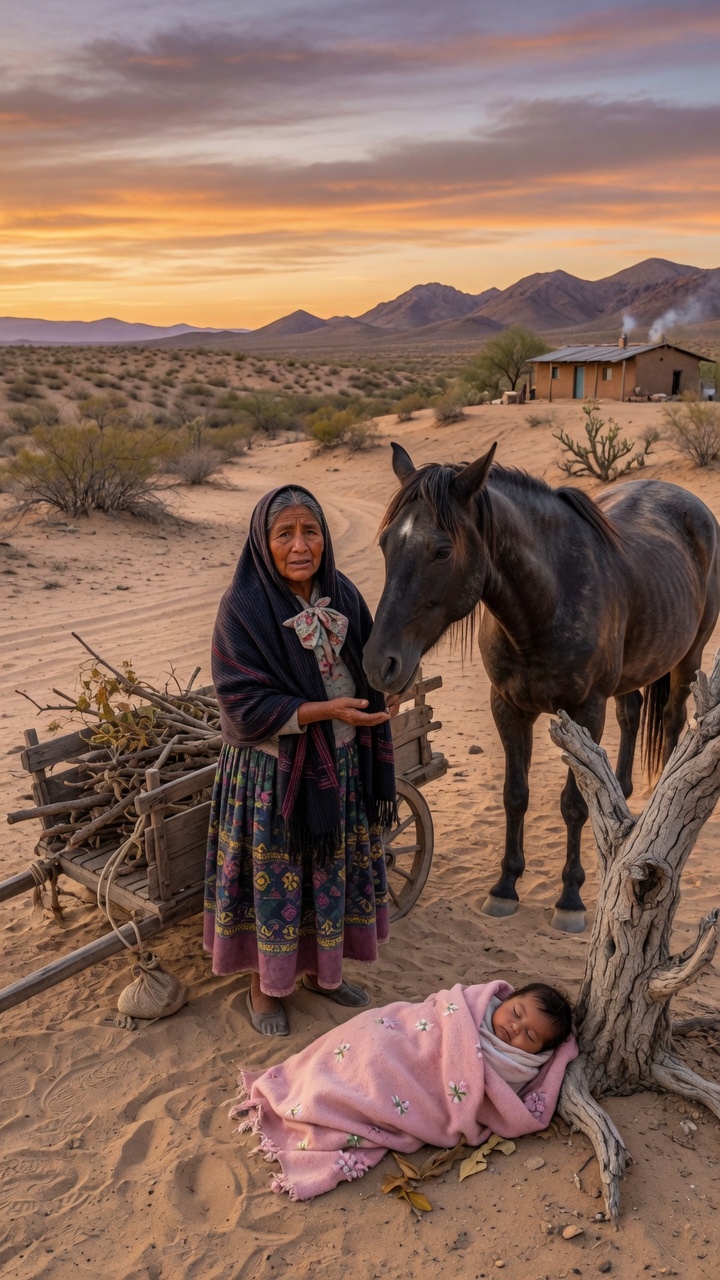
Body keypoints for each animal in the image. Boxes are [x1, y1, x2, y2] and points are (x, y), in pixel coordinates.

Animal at [363, 442, 720, 932]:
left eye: (441, 550)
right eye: (385, 543)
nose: (379, 663)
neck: (545, 604)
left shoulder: (584, 713)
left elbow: (573, 804)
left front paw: (570, 898)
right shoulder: (508, 708)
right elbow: (515, 795)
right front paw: (505, 886)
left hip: (688, 659)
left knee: (671, 722)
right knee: (630, 715)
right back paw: (624, 799)